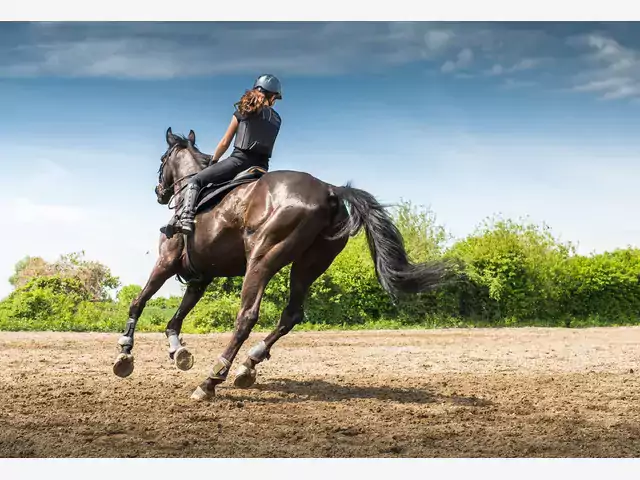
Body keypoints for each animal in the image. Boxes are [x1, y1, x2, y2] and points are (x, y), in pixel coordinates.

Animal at [112, 125, 452, 400]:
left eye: (162, 159)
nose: (159, 192)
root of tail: (330, 190)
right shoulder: (201, 277)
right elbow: (176, 319)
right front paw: (178, 351)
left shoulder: (166, 263)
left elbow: (138, 302)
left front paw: (125, 353)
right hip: (309, 265)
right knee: (291, 315)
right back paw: (248, 366)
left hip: (262, 259)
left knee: (247, 316)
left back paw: (211, 380)